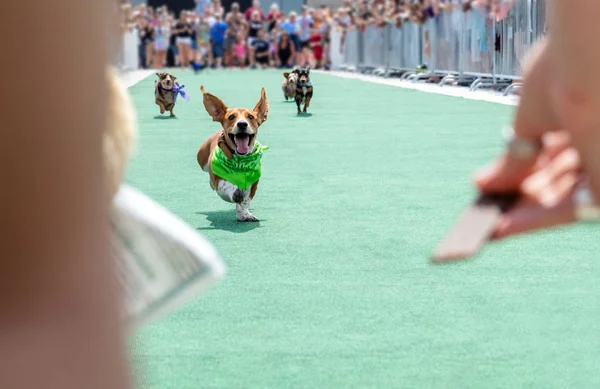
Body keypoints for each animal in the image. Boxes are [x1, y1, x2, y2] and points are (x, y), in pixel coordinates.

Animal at [197, 87, 270, 223]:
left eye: (250, 116)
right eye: (231, 117)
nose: (242, 124)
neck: (240, 161)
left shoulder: (253, 184)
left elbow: (246, 201)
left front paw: (244, 214)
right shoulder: (219, 181)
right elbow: (225, 186)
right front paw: (235, 192)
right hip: (202, 160)